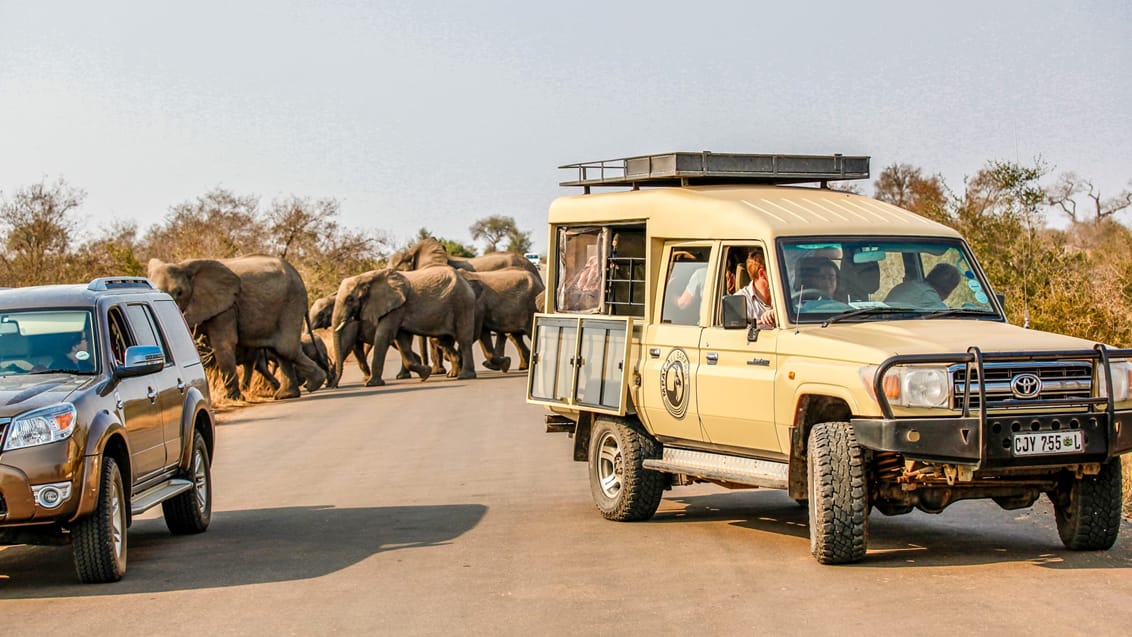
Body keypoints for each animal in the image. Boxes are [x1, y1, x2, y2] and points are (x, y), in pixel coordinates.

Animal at [146, 254, 323, 398]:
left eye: (179, 293)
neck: (184, 266)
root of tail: (296, 272)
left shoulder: (226, 306)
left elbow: (223, 344)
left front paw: (233, 398)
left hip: (291, 303)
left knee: (285, 348)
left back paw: (313, 384)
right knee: (279, 350)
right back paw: (286, 395)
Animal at [328, 265, 477, 386]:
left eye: (350, 299)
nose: (333, 385)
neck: (366, 277)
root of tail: (465, 281)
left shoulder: (397, 307)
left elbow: (384, 336)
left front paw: (371, 384)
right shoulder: (396, 308)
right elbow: (401, 340)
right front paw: (425, 373)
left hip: (462, 303)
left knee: (463, 339)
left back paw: (465, 377)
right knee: (442, 340)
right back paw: (453, 374)